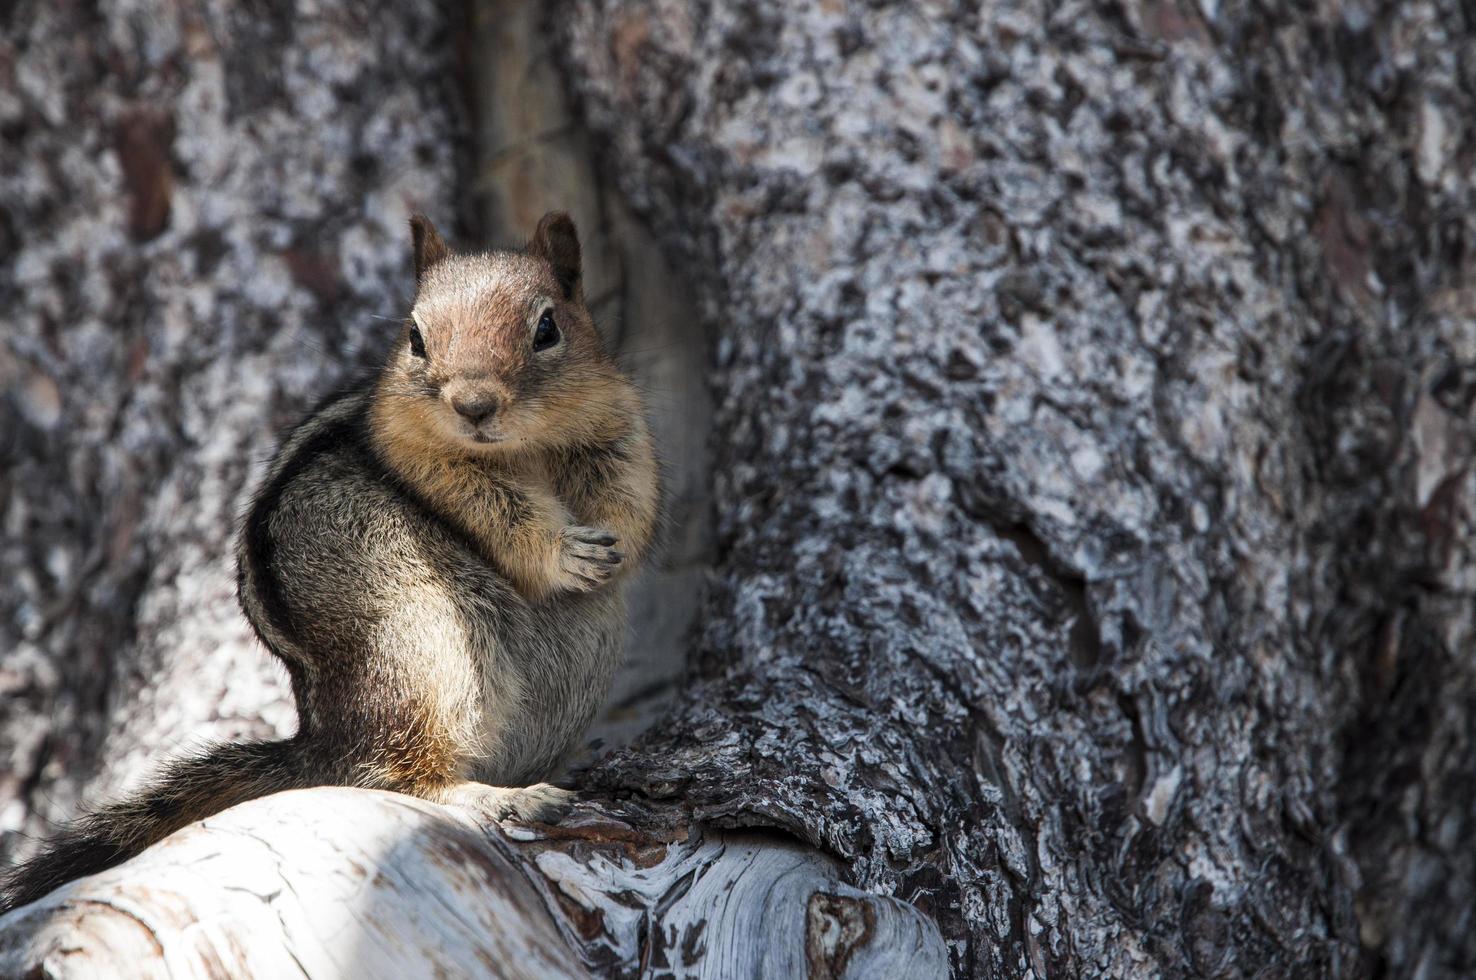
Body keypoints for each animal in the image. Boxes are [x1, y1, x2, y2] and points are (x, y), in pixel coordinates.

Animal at [0, 211, 658, 915]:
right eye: (415, 336)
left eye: (547, 328)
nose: (473, 404)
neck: (523, 448)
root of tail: (323, 741)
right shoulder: (421, 454)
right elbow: (491, 510)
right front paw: (564, 554)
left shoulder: (618, 425)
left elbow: (632, 495)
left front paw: (614, 546)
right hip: (417, 649)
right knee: (388, 775)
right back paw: (498, 797)